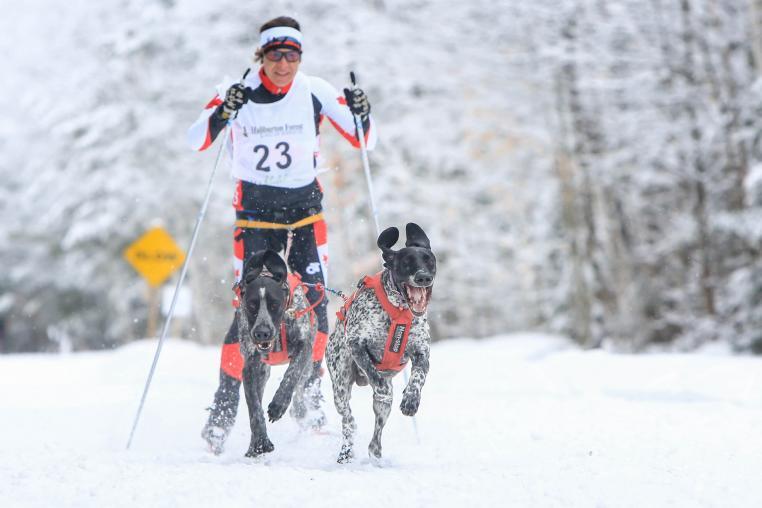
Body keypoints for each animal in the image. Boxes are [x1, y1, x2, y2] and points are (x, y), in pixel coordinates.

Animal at [233, 249, 314, 456]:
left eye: (274, 304)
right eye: (251, 305)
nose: (262, 332)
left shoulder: (304, 346)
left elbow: (291, 375)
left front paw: (279, 405)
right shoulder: (250, 368)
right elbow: (255, 408)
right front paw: (260, 442)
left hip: (307, 368)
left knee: (300, 389)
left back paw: (299, 410)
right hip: (263, 373)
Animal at [326, 224, 434, 462]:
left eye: (429, 260)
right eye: (406, 262)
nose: (423, 277)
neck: (399, 311)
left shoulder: (422, 352)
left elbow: (418, 378)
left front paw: (411, 399)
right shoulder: (356, 343)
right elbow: (372, 370)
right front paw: (381, 385)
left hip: (379, 410)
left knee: (376, 433)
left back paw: (375, 452)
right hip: (340, 385)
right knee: (347, 420)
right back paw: (346, 450)